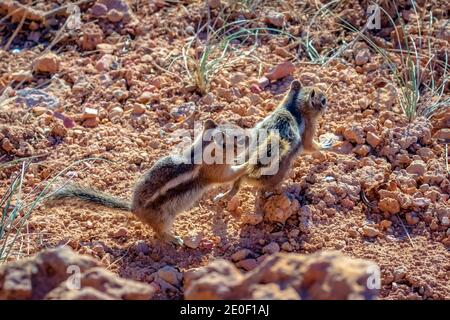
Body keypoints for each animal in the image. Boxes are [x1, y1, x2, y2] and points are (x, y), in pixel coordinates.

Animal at [53, 119, 250, 245]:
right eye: (237, 140)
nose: (249, 137)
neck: (203, 149)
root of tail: (133, 209)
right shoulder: (216, 171)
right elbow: (227, 176)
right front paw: (248, 162)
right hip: (164, 217)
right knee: (159, 232)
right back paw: (173, 239)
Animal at [213, 80, 328, 214]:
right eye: (323, 100)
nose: (327, 104)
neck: (294, 107)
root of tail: (248, 173)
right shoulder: (309, 130)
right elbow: (312, 147)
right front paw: (327, 144)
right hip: (279, 175)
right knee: (264, 192)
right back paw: (285, 194)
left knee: (235, 189)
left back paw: (221, 197)